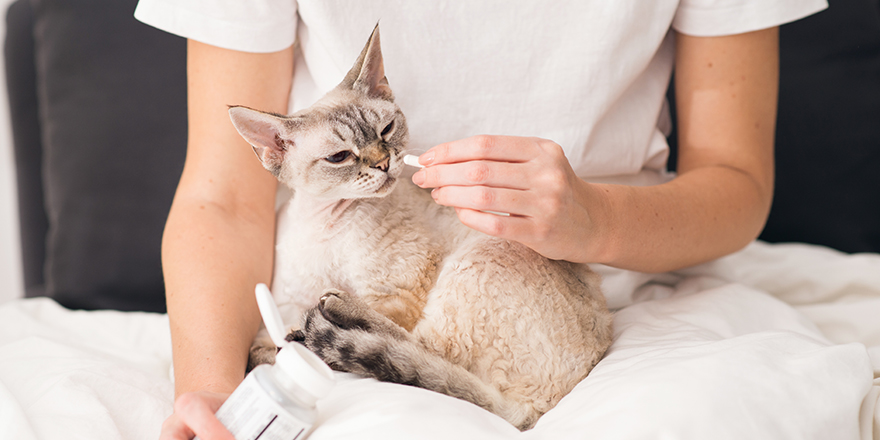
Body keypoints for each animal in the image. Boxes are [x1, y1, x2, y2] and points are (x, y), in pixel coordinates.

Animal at [227, 26, 612, 430]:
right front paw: (276, 346)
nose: (383, 164)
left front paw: (297, 335)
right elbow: (267, 335)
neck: (326, 223)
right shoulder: (294, 295)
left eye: (386, 130)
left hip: (480, 258)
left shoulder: (394, 295)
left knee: (419, 352)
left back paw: (332, 318)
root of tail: (536, 411)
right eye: (340, 157)